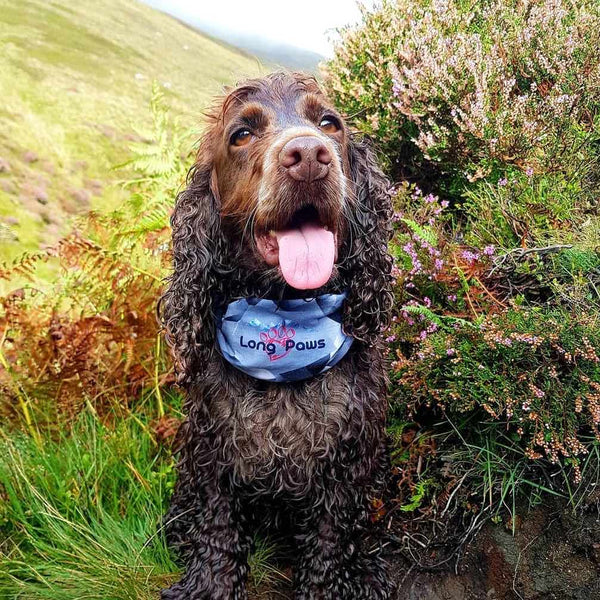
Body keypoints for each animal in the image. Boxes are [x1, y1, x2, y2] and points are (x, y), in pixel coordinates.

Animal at [159, 71, 394, 600]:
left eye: (329, 123)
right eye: (242, 134)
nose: (309, 155)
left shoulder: (344, 466)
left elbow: (329, 547)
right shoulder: (215, 453)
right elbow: (218, 533)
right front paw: (210, 584)